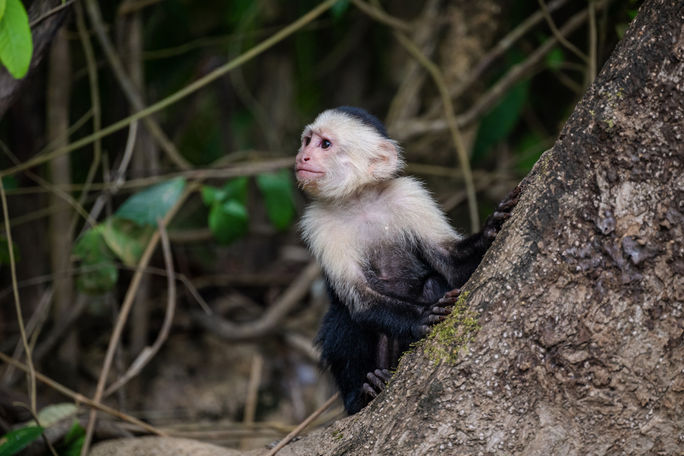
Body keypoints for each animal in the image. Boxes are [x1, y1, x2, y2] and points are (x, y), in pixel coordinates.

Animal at [296, 106, 520, 414]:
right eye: (307, 141)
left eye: (325, 144)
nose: (302, 157)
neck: (360, 200)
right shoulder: (318, 223)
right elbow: (362, 302)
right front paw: (422, 317)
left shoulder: (410, 195)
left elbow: (451, 266)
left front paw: (490, 230)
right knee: (343, 318)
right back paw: (364, 394)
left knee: (432, 283)